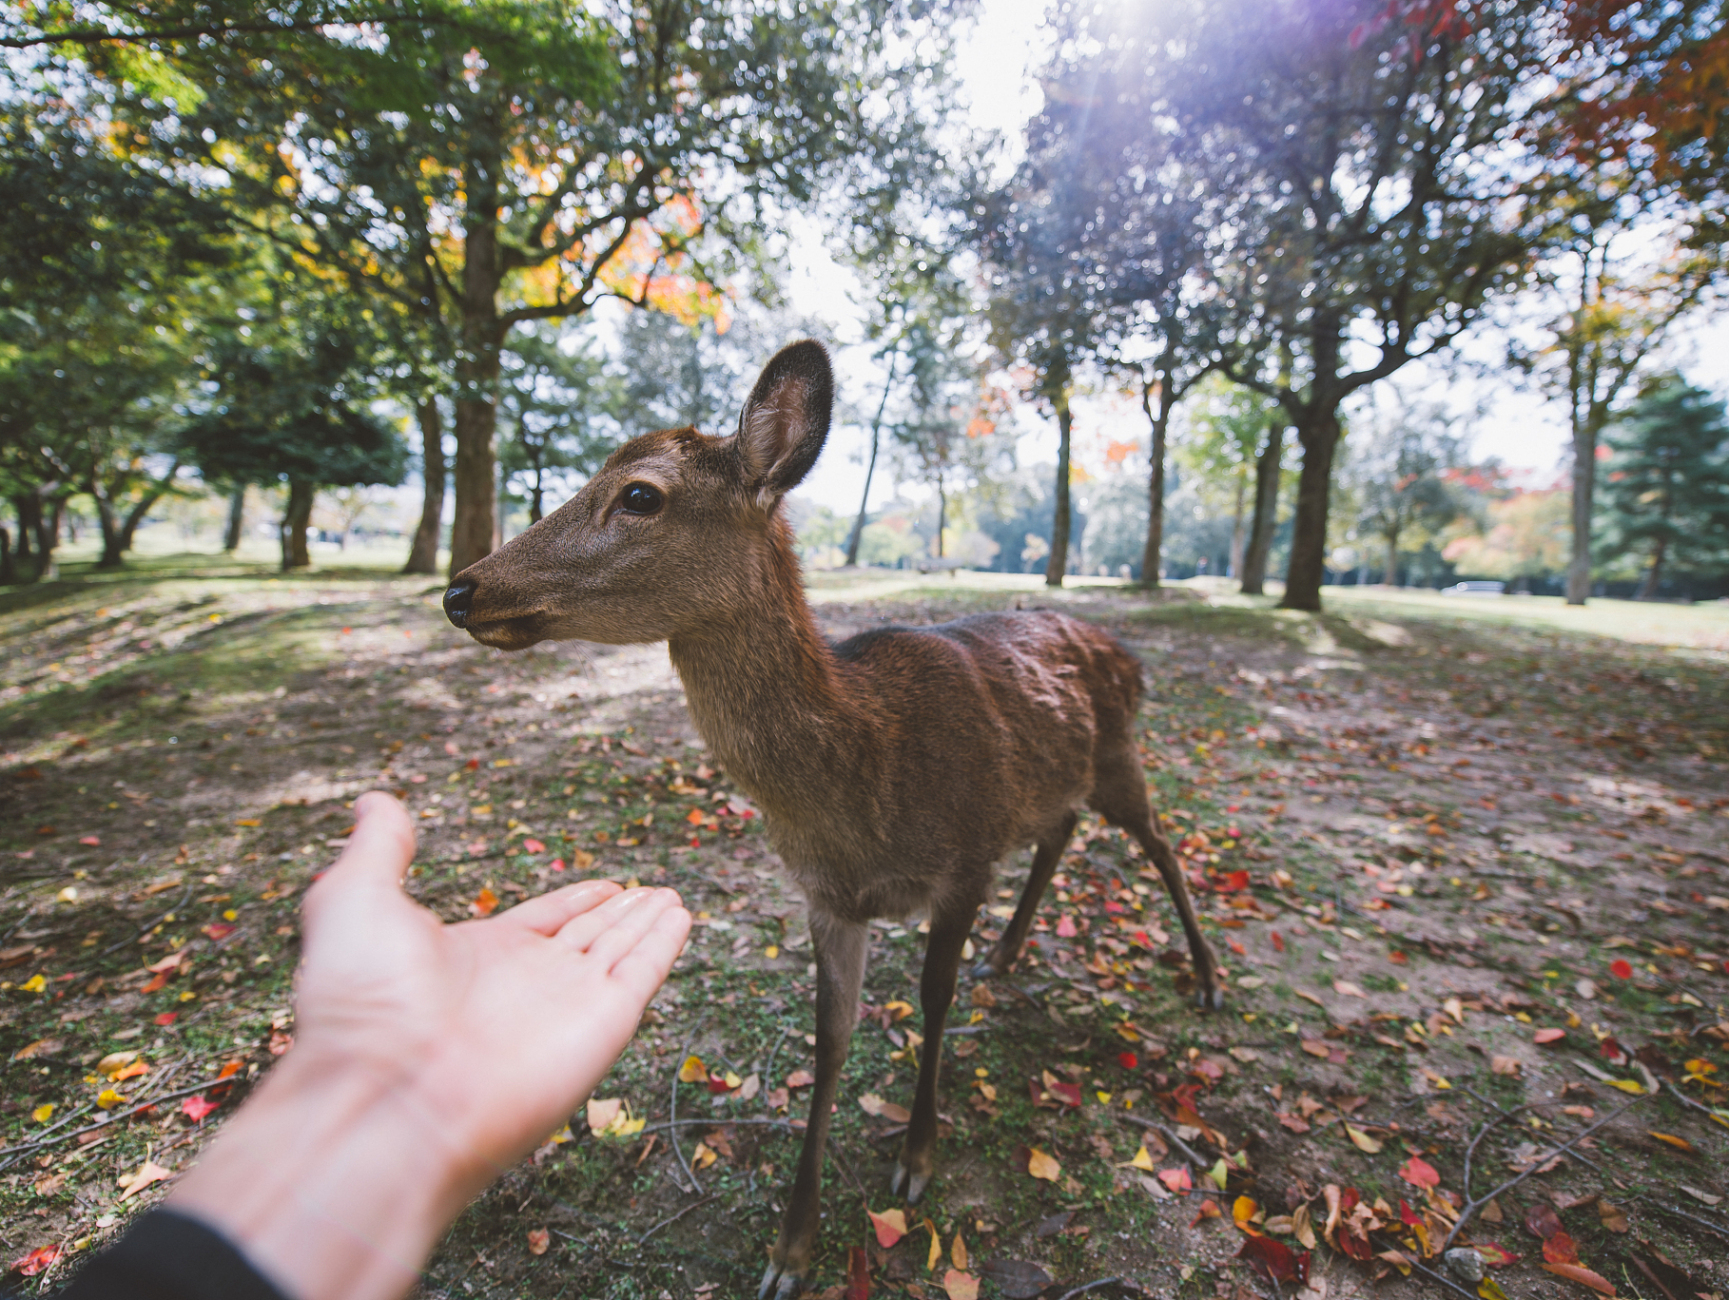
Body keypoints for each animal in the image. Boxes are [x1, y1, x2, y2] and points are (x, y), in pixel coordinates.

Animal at [442, 340, 1231, 1293]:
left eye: (639, 494)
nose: (460, 590)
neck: (865, 790)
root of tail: (1125, 653)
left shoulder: (965, 859)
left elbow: (931, 1001)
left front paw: (917, 1161)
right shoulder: (824, 897)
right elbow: (829, 1042)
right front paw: (791, 1248)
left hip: (1118, 755)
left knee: (1161, 845)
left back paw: (1207, 978)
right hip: (1059, 782)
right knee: (1061, 831)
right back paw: (1008, 955)